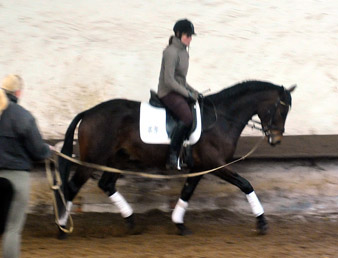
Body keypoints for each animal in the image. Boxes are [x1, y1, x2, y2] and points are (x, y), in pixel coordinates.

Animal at [55, 80, 296, 236]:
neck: (221, 119)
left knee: (106, 184)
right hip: (92, 160)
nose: (276, 140)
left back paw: (131, 221)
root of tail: (88, 112)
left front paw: (179, 223)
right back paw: (62, 228)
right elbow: (245, 184)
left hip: (119, 159)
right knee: (72, 187)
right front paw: (262, 222)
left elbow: (187, 192)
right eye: (281, 111)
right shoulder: (215, 164)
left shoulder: (200, 167)